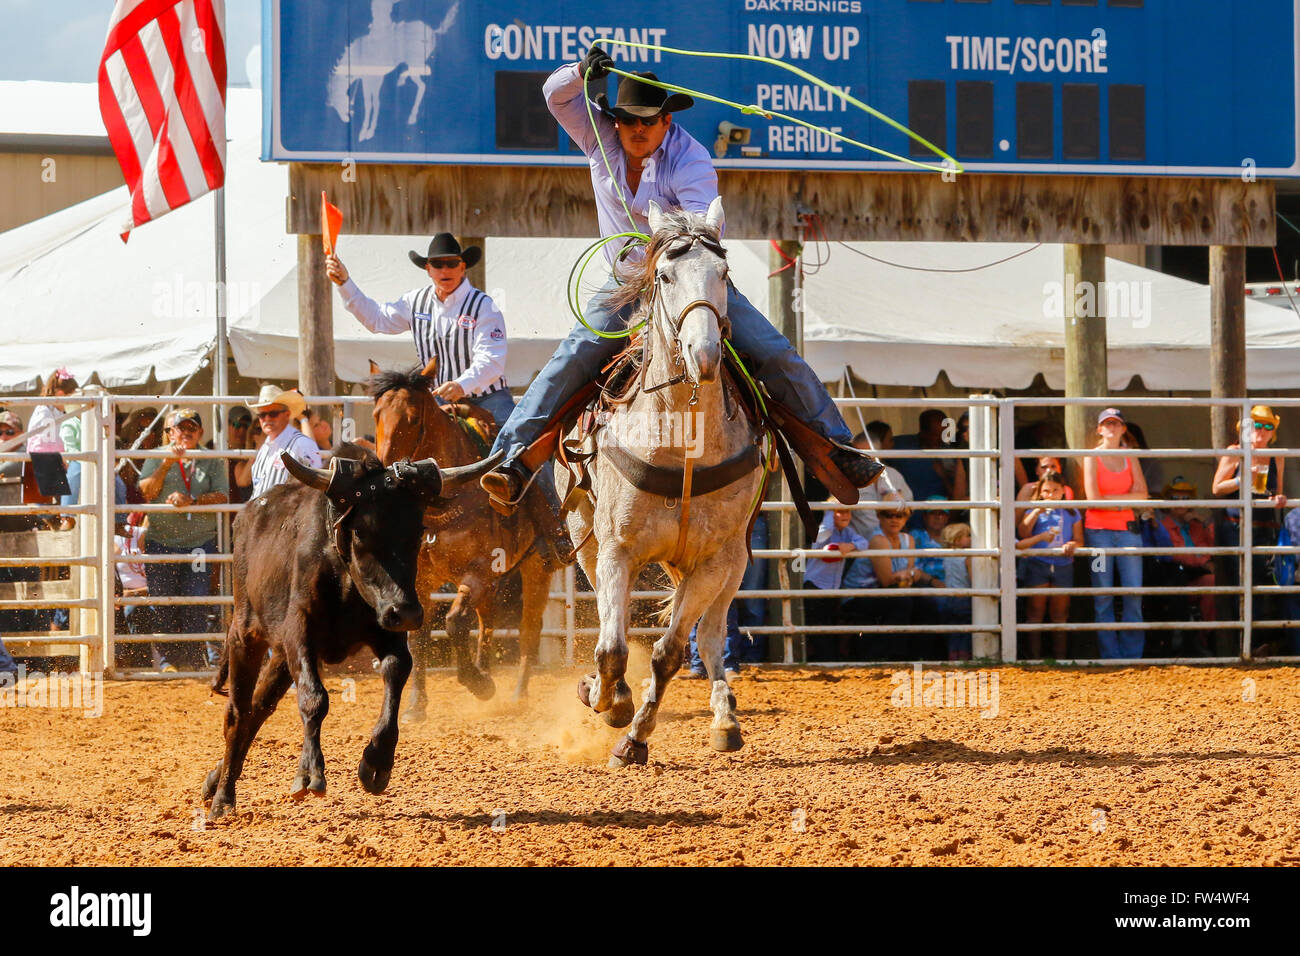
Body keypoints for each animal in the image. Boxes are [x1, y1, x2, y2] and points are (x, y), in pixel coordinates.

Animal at [201, 443, 501, 821]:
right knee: (238, 713)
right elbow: (314, 698)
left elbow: (396, 672)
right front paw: (309, 773)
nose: (407, 612)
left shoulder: (386, 629)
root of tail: (248, 515)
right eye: (361, 531)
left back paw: (215, 779)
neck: (341, 575)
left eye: (418, 531)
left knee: (258, 708)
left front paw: (377, 761)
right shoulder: (298, 632)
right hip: (247, 635)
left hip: (281, 658)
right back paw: (223, 798)